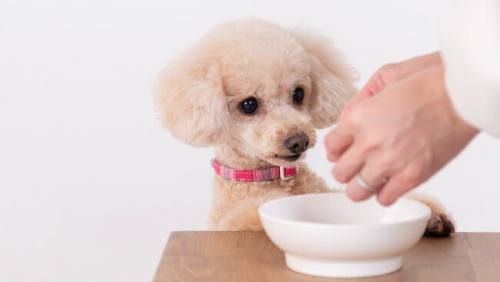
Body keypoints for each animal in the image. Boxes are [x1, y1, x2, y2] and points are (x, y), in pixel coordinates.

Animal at [154, 18, 456, 236]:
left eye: (298, 94)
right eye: (248, 105)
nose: (298, 140)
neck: (271, 178)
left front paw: (433, 215)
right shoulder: (231, 221)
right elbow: (251, 217)